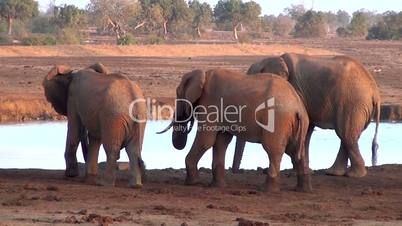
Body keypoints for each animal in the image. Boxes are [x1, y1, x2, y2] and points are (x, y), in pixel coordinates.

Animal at [232, 53, 380, 178]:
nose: (236, 172)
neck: (275, 58)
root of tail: (374, 90)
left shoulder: (294, 91)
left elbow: (306, 124)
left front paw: (298, 171)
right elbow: (307, 127)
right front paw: (305, 171)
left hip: (353, 103)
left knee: (345, 134)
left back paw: (354, 175)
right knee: (347, 135)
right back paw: (334, 173)